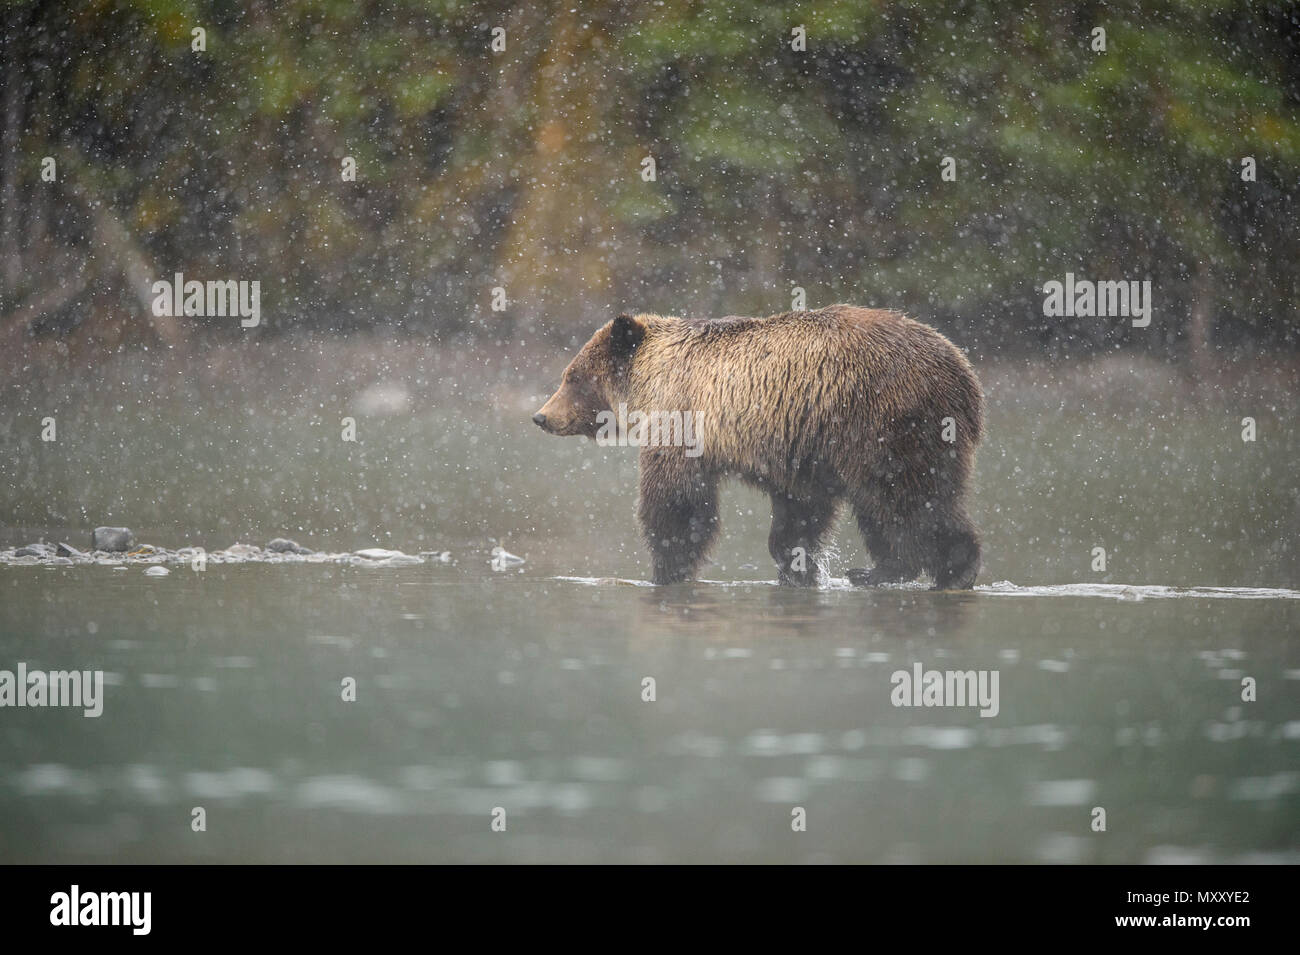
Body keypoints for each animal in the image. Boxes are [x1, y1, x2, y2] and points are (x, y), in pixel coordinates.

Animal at [533, 306, 977, 589]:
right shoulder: (798, 447)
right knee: (909, 501)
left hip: (882, 424)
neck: (650, 384)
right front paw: (798, 570)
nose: (541, 416)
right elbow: (799, 516)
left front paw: (665, 570)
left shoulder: (682, 425)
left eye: (573, 377)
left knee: (903, 498)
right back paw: (916, 570)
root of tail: (963, 374)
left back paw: (917, 569)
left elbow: (677, 504)